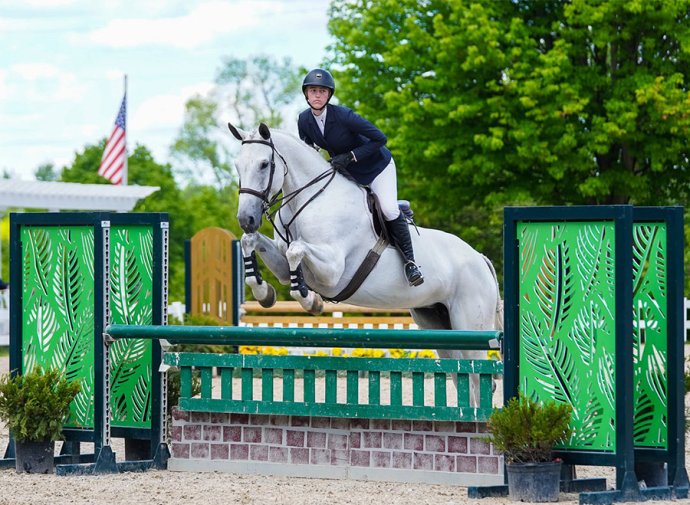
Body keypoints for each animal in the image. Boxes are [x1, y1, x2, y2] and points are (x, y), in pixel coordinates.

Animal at [227, 122, 503, 403]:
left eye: (264, 164)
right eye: (237, 165)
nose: (246, 219)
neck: (311, 199)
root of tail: (480, 258)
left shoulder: (332, 271)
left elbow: (296, 250)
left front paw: (311, 300)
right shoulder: (284, 266)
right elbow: (251, 242)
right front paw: (264, 292)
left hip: (470, 323)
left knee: (477, 378)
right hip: (437, 323)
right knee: (464, 377)